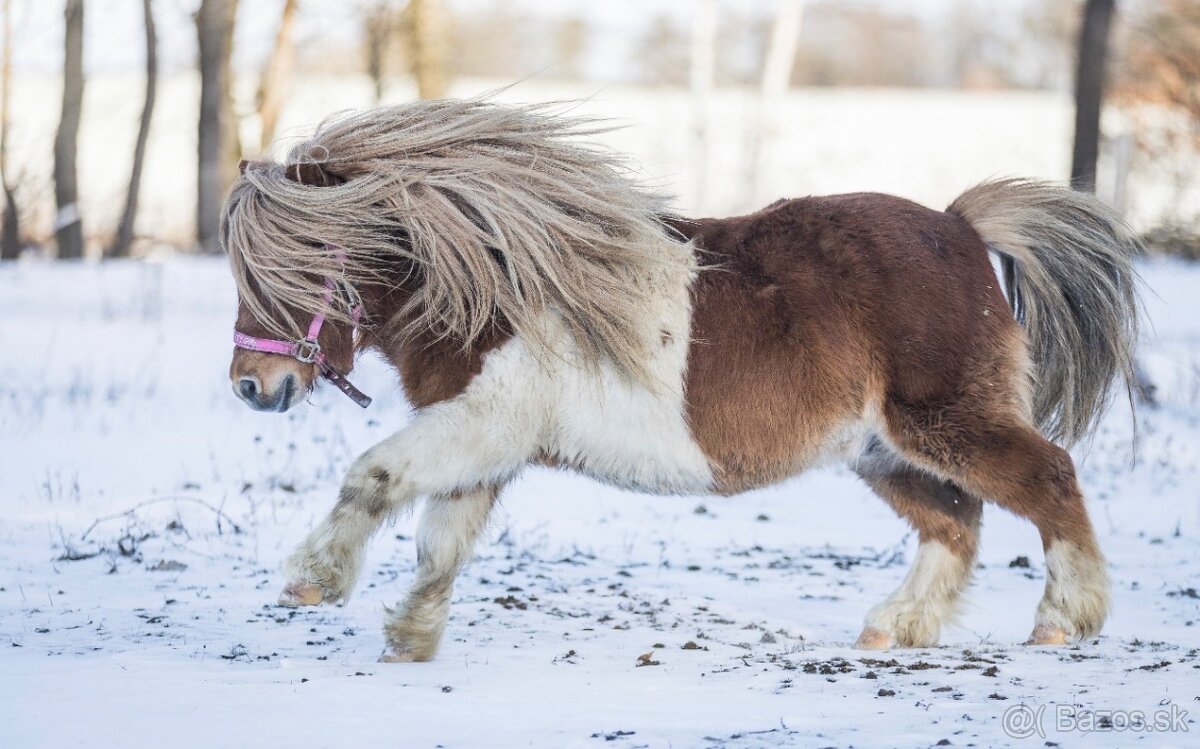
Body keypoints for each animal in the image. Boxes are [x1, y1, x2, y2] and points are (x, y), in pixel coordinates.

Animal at [223, 99, 1140, 662]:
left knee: (1048, 478)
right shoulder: (481, 445)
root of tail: (960, 227)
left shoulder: (478, 426)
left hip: (944, 422)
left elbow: (372, 476)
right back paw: (895, 626)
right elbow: (440, 542)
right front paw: (408, 640)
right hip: (882, 450)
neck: (492, 285)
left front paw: (314, 579)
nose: (253, 385)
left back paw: (1063, 620)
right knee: (955, 521)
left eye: (297, 264)